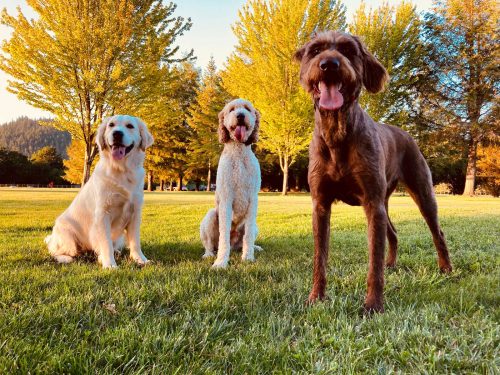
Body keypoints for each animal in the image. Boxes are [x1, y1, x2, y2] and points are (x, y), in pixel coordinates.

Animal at [45, 116, 154, 268]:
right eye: (111, 125)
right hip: (67, 234)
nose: (117, 134)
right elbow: (106, 242)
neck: (122, 170)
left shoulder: (135, 212)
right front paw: (110, 264)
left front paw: (140, 259)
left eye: (130, 126)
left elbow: (135, 242)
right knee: (57, 252)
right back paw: (67, 257)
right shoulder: (103, 214)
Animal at [200, 100, 262, 268]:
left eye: (247, 109)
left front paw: (248, 257)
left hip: (255, 226)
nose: (240, 115)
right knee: (210, 245)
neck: (239, 153)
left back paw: (254, 247)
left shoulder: (253, 200)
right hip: (210, 217)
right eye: (231, 109)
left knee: (245, 240)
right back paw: (209, 254)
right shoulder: (226, 198)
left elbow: (248, 236)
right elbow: (223, 239)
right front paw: (221, 262)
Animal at [294, 31, 452, 314]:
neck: (337, 134)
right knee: (394, 232)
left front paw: (373, 304)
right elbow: (319, 257)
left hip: (421, 191)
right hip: (385, 202)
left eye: (348, 50)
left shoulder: (371, 202)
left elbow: (373, 261)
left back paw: (446, 268)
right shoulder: (320, 204)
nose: (329, 65)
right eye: (316, 50)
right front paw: (316, 297)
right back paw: (392, 264)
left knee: (437, 232)